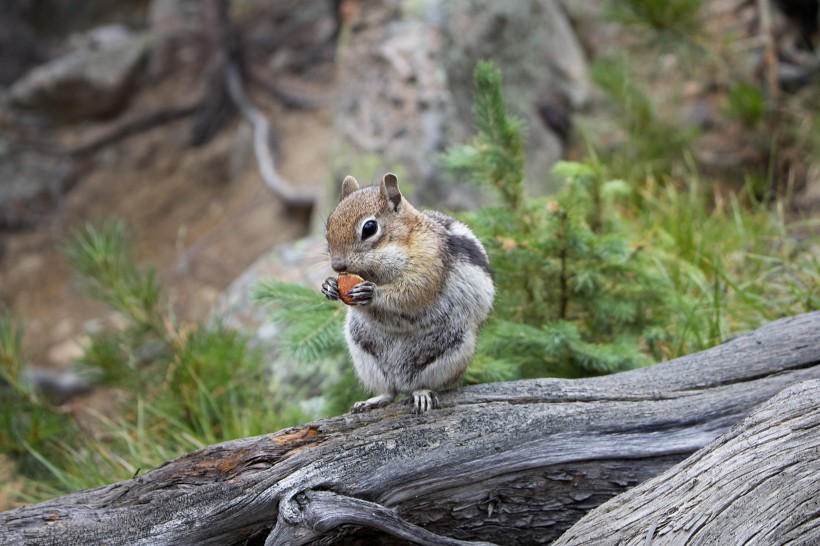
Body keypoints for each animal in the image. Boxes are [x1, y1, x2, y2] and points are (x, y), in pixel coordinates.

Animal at [320, 173, 494, 412]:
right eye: (329, 224)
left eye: (369, 228)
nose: (337, 266)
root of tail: (401, 381)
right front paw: (329, 286)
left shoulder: (429, 262)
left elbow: (412, 291)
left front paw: (371, 293)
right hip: (362, 349)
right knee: (389, 391)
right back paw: (373, 400)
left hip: (452, 349)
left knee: (422, 384)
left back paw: (421, 394)